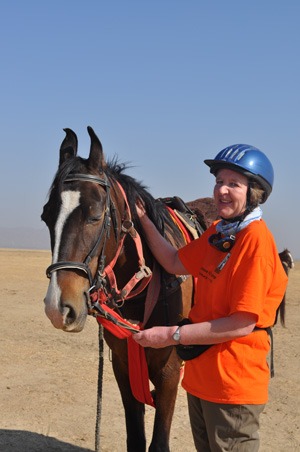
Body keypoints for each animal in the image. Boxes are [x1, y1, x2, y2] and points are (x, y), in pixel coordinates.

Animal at [41, 125, 204, 450]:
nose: (58, 308)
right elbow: (135, 439)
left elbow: (158, 443)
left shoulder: (169, 372)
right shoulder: (123, 365)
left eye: (95, 215)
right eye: (45, 217)